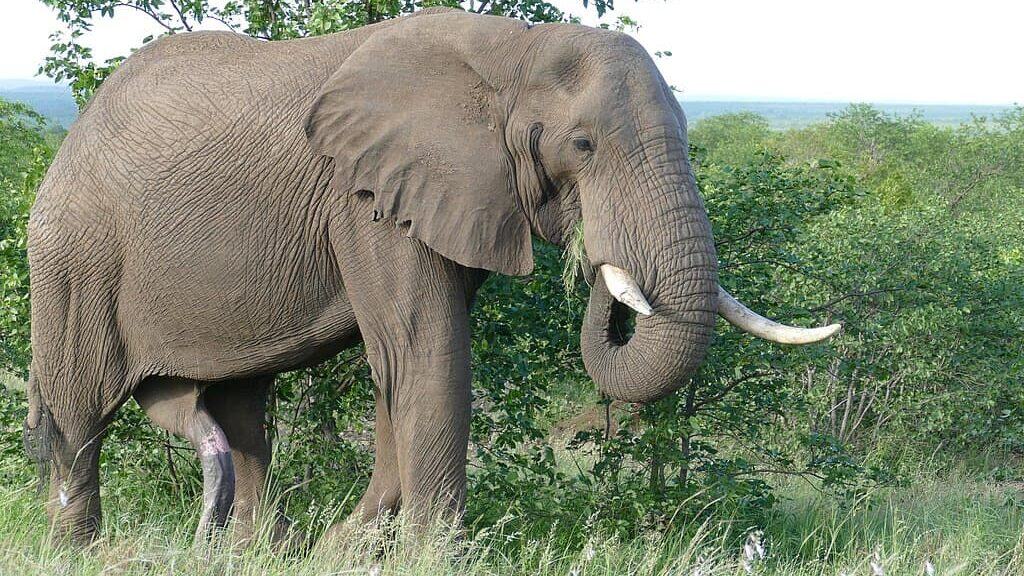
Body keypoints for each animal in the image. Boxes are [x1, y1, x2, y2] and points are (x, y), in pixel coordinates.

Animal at [22, 7, 839, 545]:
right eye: (581, 144)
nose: (597, 266)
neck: (510, 51)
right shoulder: (365, 197)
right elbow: (424, 352)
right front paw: (428, 554)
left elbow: (404, 366)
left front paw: (352, 548)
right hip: (74, 257)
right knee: (80, 415)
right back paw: (78, 551)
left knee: (238, 410)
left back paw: (254, 550)